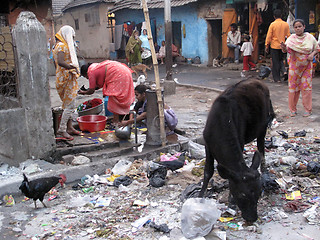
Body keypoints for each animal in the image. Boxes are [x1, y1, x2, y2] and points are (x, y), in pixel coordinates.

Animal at [199, 79, 274, 223]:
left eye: (258, 193)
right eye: (242, 194)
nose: (252, 218)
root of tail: (257, 81)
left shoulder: (240, 141)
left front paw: (231, 203)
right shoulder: (207, 145)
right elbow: (208, 172)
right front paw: (200, 196)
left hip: (262, 127)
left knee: (261, 150)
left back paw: (265, 171)